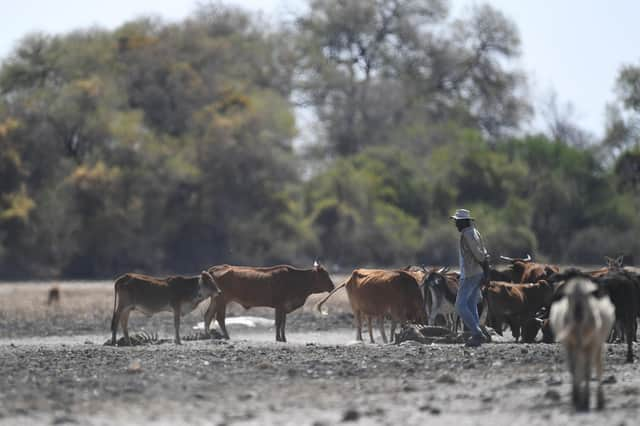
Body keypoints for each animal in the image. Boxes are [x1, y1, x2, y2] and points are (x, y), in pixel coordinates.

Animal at [205, 262, 336, 342]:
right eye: (324, 275)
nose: (333, 286)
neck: (295, 280)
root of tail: (216, 268)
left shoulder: (283, 307)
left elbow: (282, 323)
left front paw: (283, 338)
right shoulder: (280, 305)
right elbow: (278, 323)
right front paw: (279, 338)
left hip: (216, 300)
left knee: (208, 315)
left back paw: (208, 335)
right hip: (222, 300)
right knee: (219, 318)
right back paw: (227, 336)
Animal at [552, 272, 616, 412]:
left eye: (587, 295)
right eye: (568, 296)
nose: (578, 314)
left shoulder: (591, 345)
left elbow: (587, 372)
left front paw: (585, 400)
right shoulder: (569, 345)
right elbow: (573, 369)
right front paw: (576, 397)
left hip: (597, 345)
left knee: (598, 367)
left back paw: (600, 400)